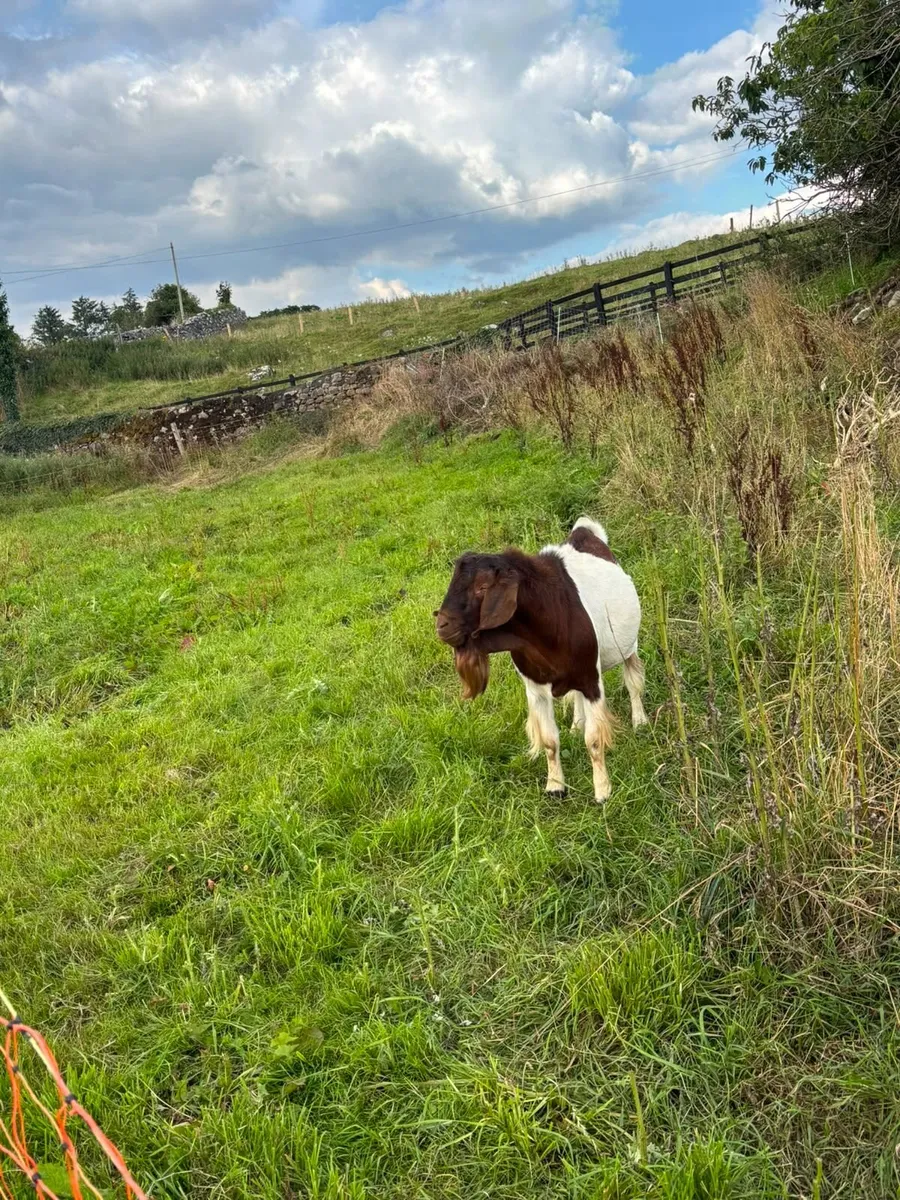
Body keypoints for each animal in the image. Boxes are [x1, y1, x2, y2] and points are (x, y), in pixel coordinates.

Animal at [435, 517, 647, 801]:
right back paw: (576, 725)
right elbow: (549, 741)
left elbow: (593, 740)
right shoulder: (535, 688)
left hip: (628, 645)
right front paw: (555, 787)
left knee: (633, 679)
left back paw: (640, 721)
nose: (442, 625)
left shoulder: (591, 679)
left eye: (482, 587)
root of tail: (584, 531)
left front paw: (603, 791)